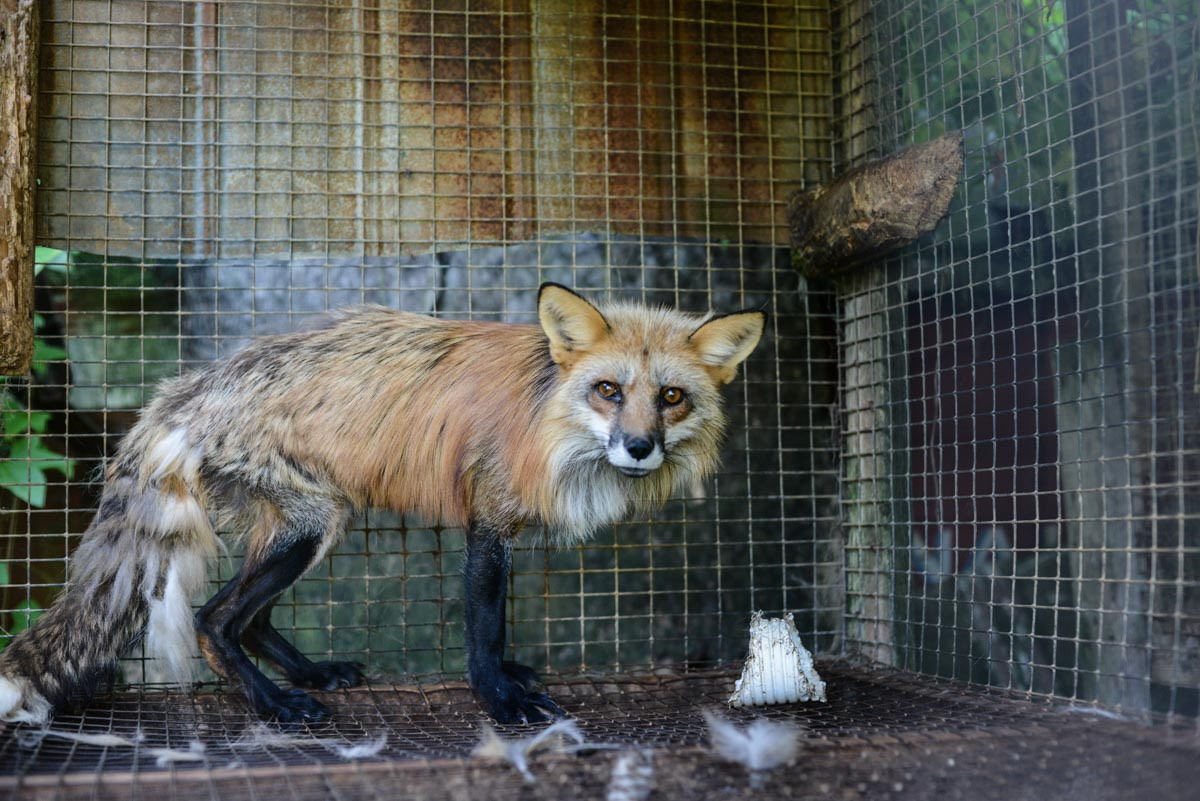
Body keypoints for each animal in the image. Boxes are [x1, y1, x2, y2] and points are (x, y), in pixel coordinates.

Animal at [0, 282, 763, 724]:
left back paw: (311, 672)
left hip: (315, 523)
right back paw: (275, 703)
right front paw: (499, 697)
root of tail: (184, 391)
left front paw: (509, 680)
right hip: (308, 526)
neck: (547, 418)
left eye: (671, 397)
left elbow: (496, 628)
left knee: (252, 618)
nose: (639, 446)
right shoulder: (488, 521)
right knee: (214, 619)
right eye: (608, 389)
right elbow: (485, 627)